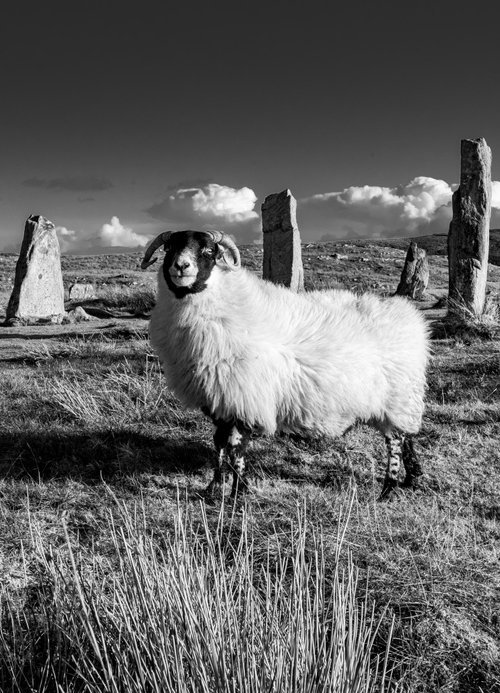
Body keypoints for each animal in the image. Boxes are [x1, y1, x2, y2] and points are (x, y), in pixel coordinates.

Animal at [141, 230, 430, 500]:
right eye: (169, 247)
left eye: (209, 250)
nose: (181, 266)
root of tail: (409, 317)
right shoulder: (220, 399)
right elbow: (219, 444)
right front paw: (213, 488)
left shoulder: (246, 398)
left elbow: (236, 447)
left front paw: (238, 493)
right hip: (399, 402)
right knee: (408, 437)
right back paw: (413, 479)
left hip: (398, 396)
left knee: (396, 442)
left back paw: (388, 489)